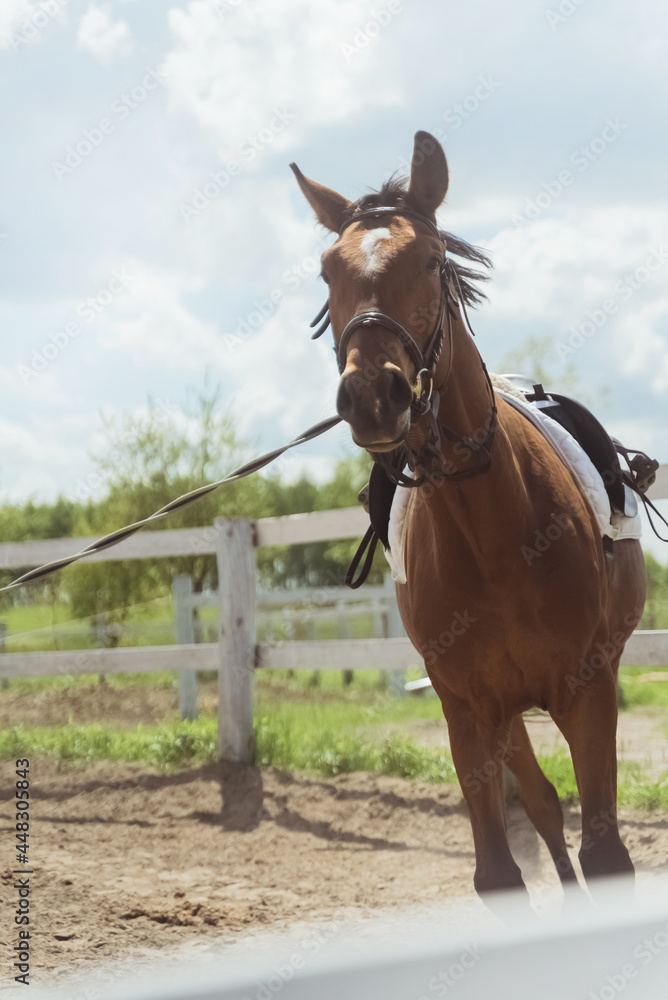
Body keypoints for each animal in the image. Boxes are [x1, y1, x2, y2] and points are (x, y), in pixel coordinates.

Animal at [290, 131, 646, 905]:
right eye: (327, 272)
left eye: (428, 260)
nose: (373, 395)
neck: (495, 533)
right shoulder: (467, 709)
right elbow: (499, 872)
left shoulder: (589, 693)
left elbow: (607, 854)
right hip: (504, 710)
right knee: (540, 803)